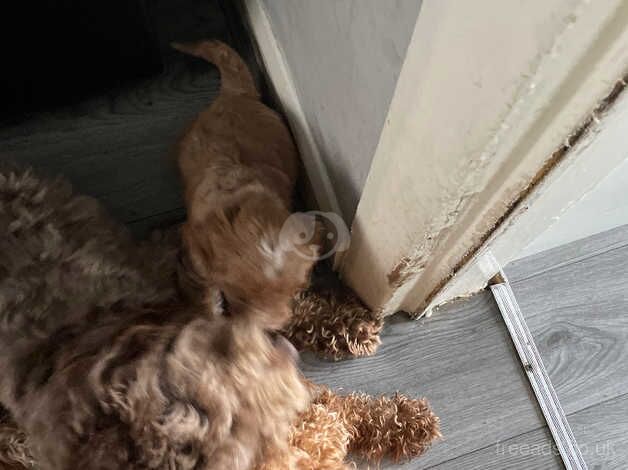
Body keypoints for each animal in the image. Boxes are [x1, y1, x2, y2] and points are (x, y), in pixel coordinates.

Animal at [173, 40, 316, 326]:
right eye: (239, 298)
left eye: (296, 291)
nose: (277, 325)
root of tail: (237, 94)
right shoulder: (195, 241)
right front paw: (210, 305)